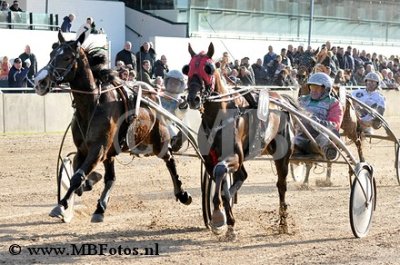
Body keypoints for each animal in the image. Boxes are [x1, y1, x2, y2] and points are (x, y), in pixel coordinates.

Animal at [33, 29, 191, 222]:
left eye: (67, 57)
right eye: (51, 54)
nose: (40, 81)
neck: (92, 104)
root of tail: (153, 95)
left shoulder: (99, 148)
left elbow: (77, 177)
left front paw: (61, 205)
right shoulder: (85, 149)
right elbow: (79, 172)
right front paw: (87, 185)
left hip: (158, 139)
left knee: (169, 159)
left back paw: (182, 193)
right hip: (114, 150)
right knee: (111, 178)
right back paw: (100, 208)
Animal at [184, 42, 294, 237]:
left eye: (208, 68)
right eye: (187, 69)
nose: (193, 98)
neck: (218, 117)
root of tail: (281, 98)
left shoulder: (234, 156)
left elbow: (221, 172)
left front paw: (218, 215)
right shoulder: (210, 160)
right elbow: (221, 182)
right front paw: (227, 222)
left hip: (283, 154)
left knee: (281, 185)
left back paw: (283, 223)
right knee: (242, 176)